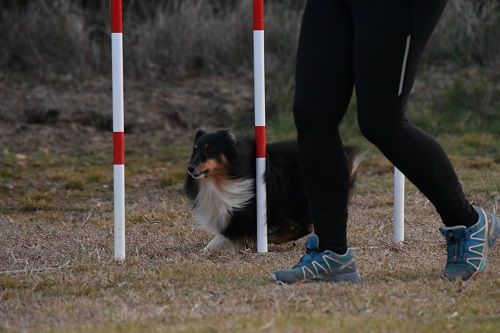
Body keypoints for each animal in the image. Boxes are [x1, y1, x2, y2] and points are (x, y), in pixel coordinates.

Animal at [182, 128, 362, 250]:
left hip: (295, 198)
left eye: (209, 150)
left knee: (305, 226)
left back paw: (271, 238)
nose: (190, 168)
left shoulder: (245, 206)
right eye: (195, 150)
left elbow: (231, 230)